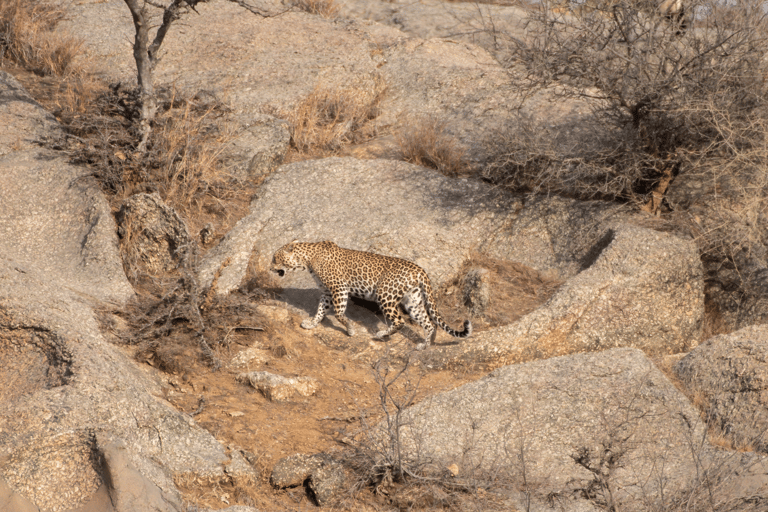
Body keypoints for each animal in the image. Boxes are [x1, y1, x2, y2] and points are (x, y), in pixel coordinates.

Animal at [270, 240, 474, 348]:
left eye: (275, 258)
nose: (270, 268)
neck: (307, 259)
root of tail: (420, 270)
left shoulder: (339, 288)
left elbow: (338, 313)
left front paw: (350, 329)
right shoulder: (327, 292)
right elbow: (321, 310)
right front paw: (312, 323)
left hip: (386, 295)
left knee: (399, 320)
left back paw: (381, 334)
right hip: (413, 300)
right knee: (429, 323)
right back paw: (424, 345)